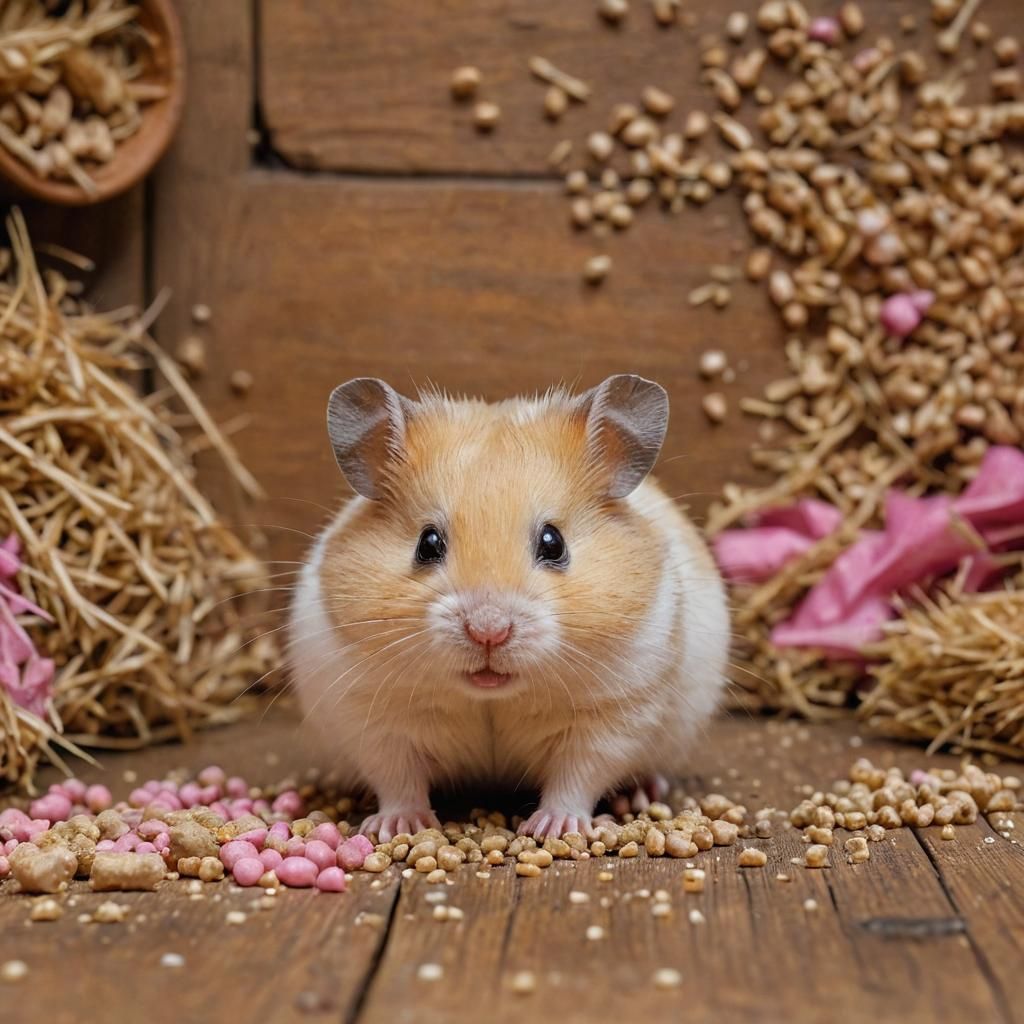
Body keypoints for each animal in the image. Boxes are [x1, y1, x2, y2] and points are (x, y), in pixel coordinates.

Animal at [288, 374, 730, 841]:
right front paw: (398, 827)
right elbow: (397, 778)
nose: (488, 631)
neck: (491, 695)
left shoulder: (613, 715)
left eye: (553, 543)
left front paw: (554, 828)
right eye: (427, 543)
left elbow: (577, 777)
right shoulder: (371, 716)